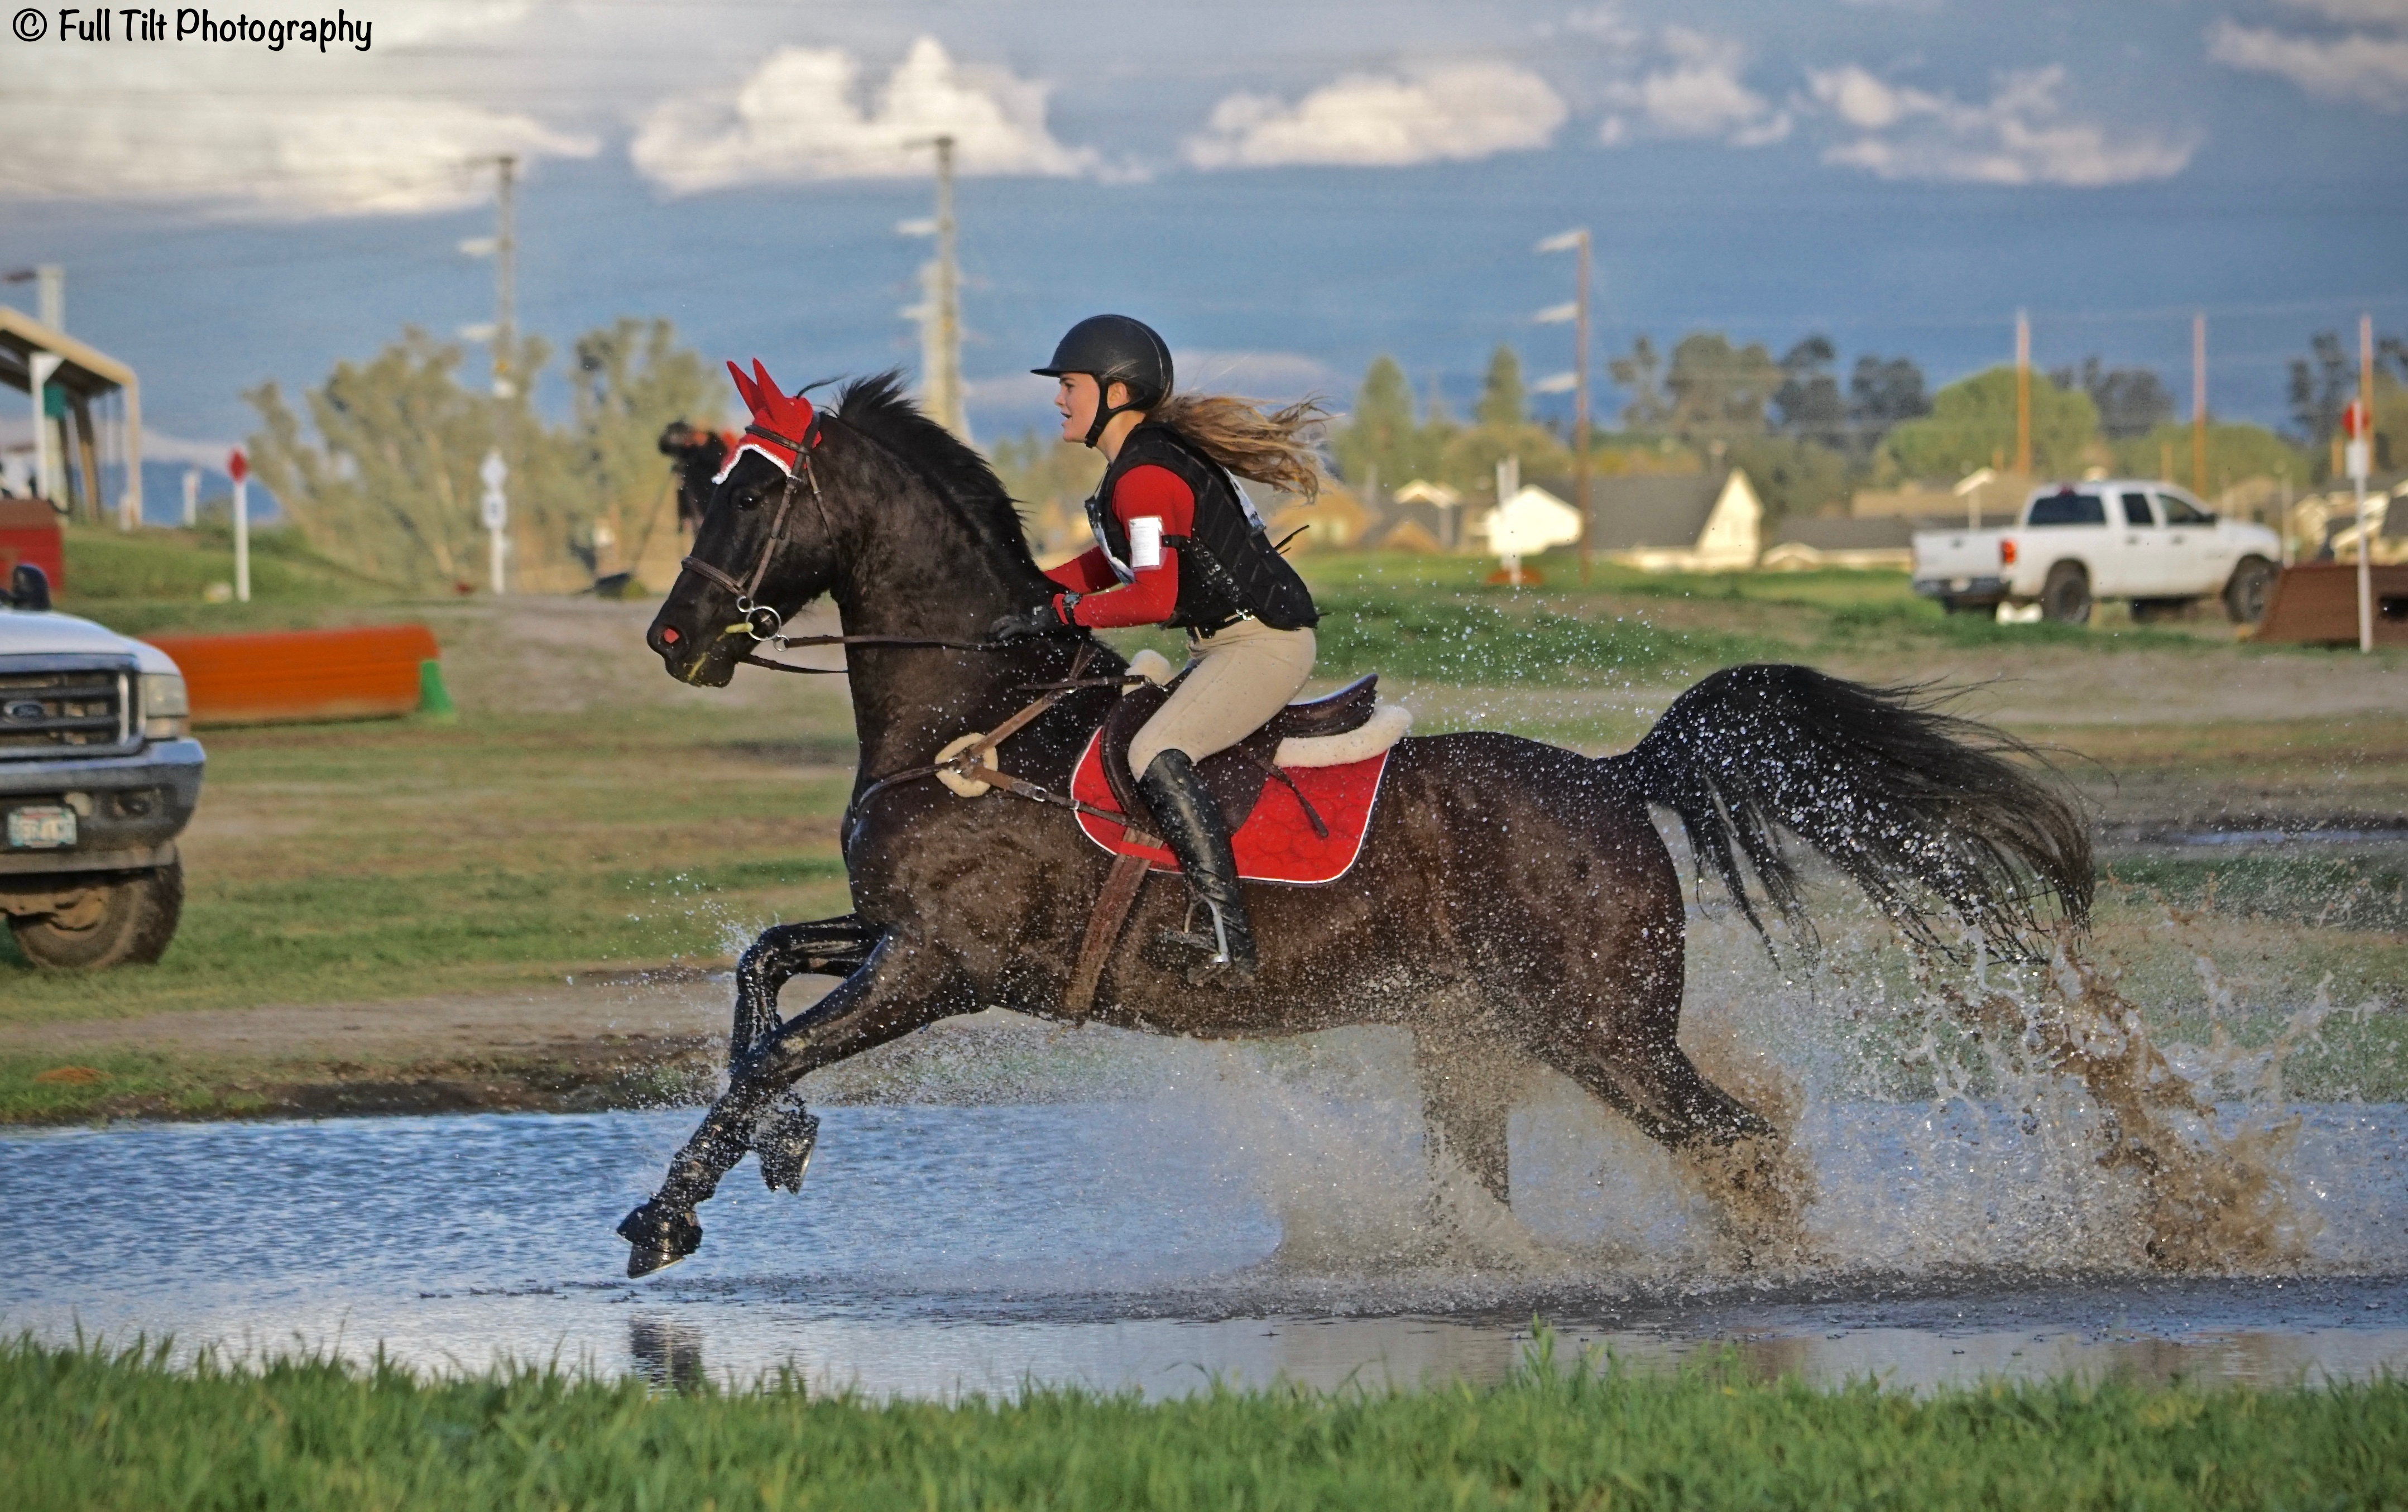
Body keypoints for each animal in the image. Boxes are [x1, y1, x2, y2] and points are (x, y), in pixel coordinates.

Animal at [616, 375, 2090, 1271]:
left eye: (752, 495)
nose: (672, 638)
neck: (977, 715)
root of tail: (1617, 781)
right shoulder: (890, 936)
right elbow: (758, 979)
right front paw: (772, 1151)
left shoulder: (942, 964)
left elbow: (773, 1050)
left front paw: (664, 1216)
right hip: (1474, 1033)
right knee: (1508, 1181)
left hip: (1600, 1031)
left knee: (1735, 1142)